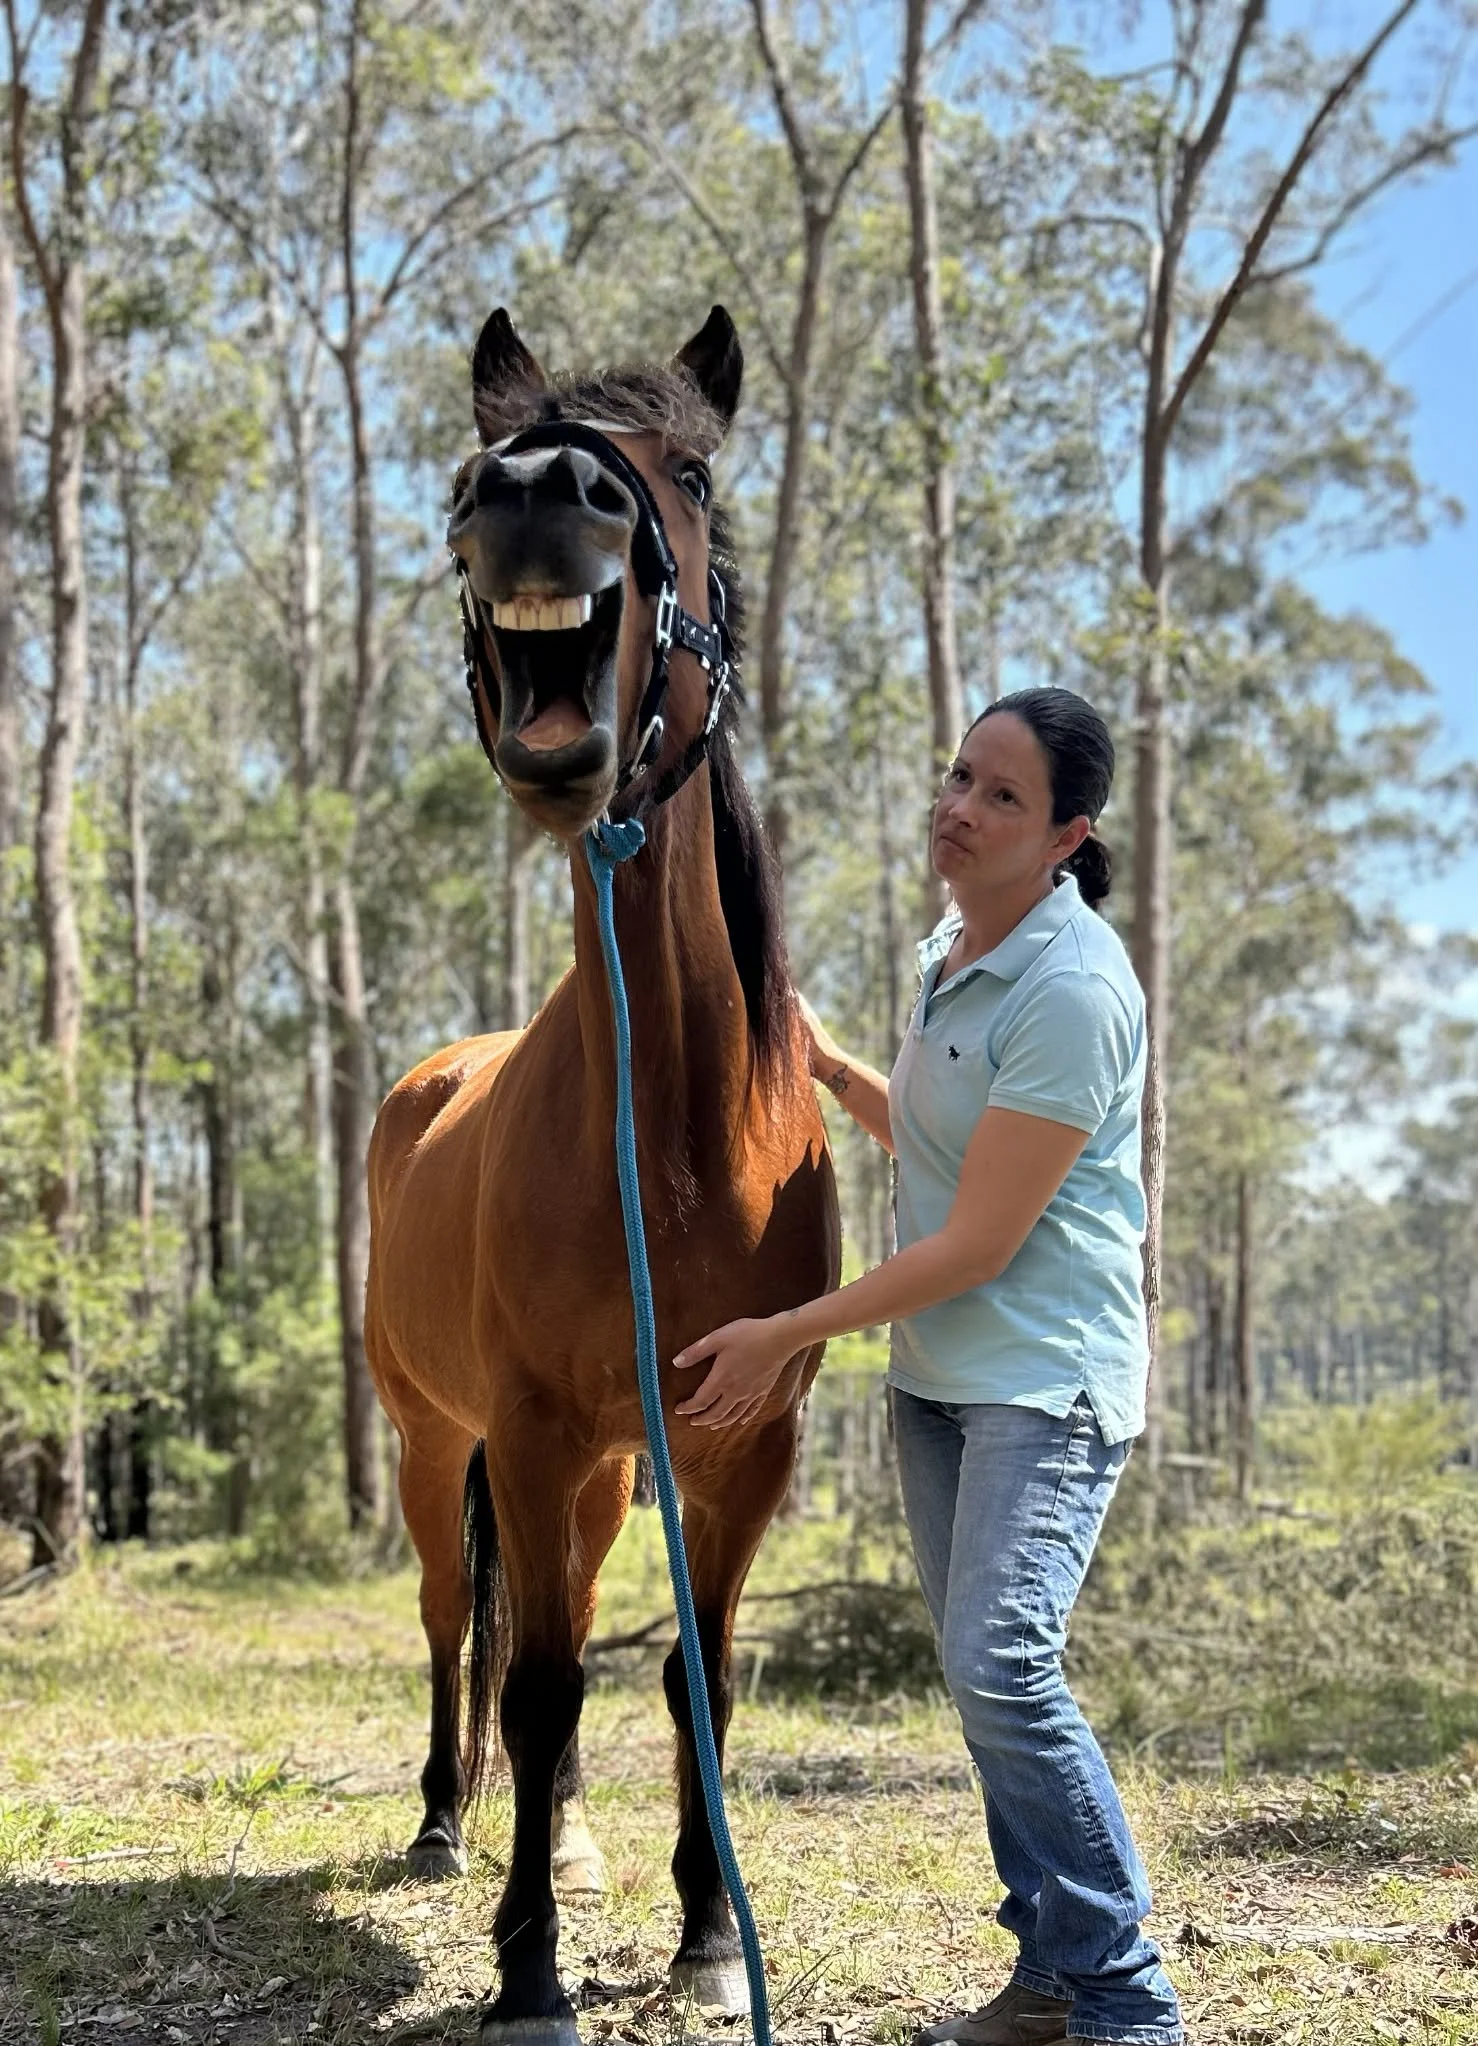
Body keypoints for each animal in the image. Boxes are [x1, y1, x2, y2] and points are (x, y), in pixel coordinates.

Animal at [364, 303, 841, 2046]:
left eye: (687, 469)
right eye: (475, 453)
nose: (530, 492)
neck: (681, 1140)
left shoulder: (738, 1444)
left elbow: (690, 1671)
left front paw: (705, 1930)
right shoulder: (531, 1430)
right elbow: (540, 1677)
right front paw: (525, 1969)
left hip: (594, 1473)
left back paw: (559, 1834)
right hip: (442, 1445)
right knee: (462, 1630)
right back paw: (450, 1827)